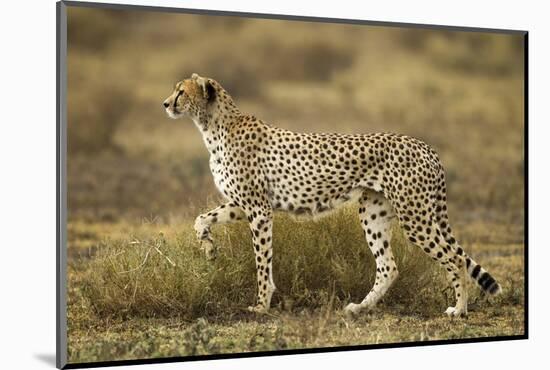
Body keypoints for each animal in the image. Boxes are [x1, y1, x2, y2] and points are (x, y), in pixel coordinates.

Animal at [162, 73, 502, 316]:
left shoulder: (258, 209)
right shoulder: (243, 203)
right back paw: (360, 308)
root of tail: (424, 145)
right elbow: (201, 218)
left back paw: (459, 309)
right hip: (374, 213)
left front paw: (261, 304)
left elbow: (262, 260)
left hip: (415, 216)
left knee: (454, 258)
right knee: (388, 267)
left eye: (182, 92)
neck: (213, 127)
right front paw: (208, 249)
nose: (165, 104)